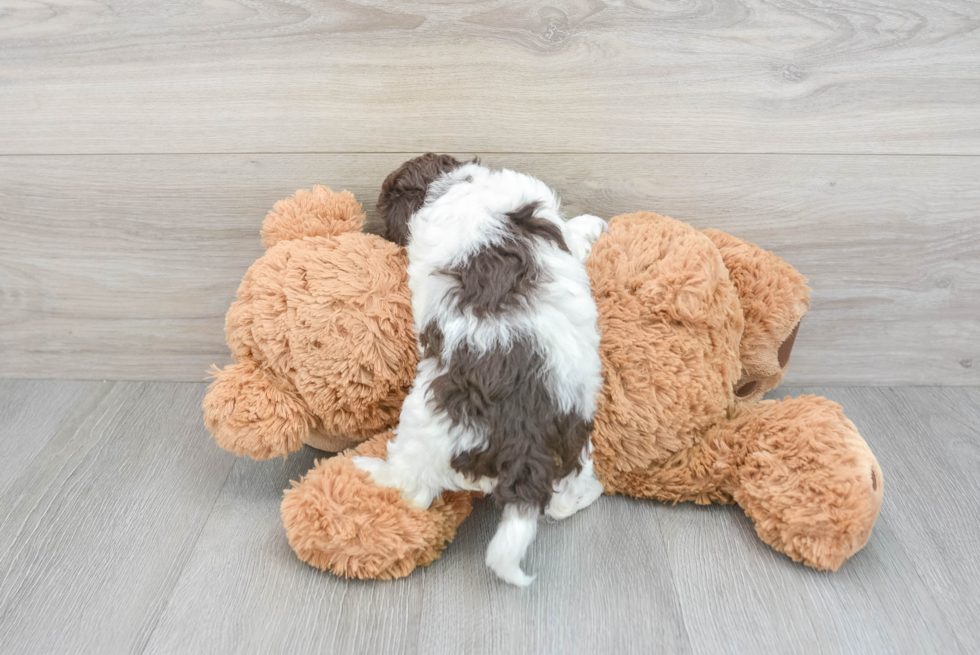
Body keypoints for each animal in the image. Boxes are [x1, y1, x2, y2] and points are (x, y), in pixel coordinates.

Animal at [356, 156, 608, 588]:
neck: (454, 186)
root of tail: (523, 445)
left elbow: (572, 233)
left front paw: (590, 223)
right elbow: (571, 233)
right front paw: (591, 223)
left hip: (423, 428)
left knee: (411, 489)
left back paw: (368, 468)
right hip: (572, 440)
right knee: (560, 501)